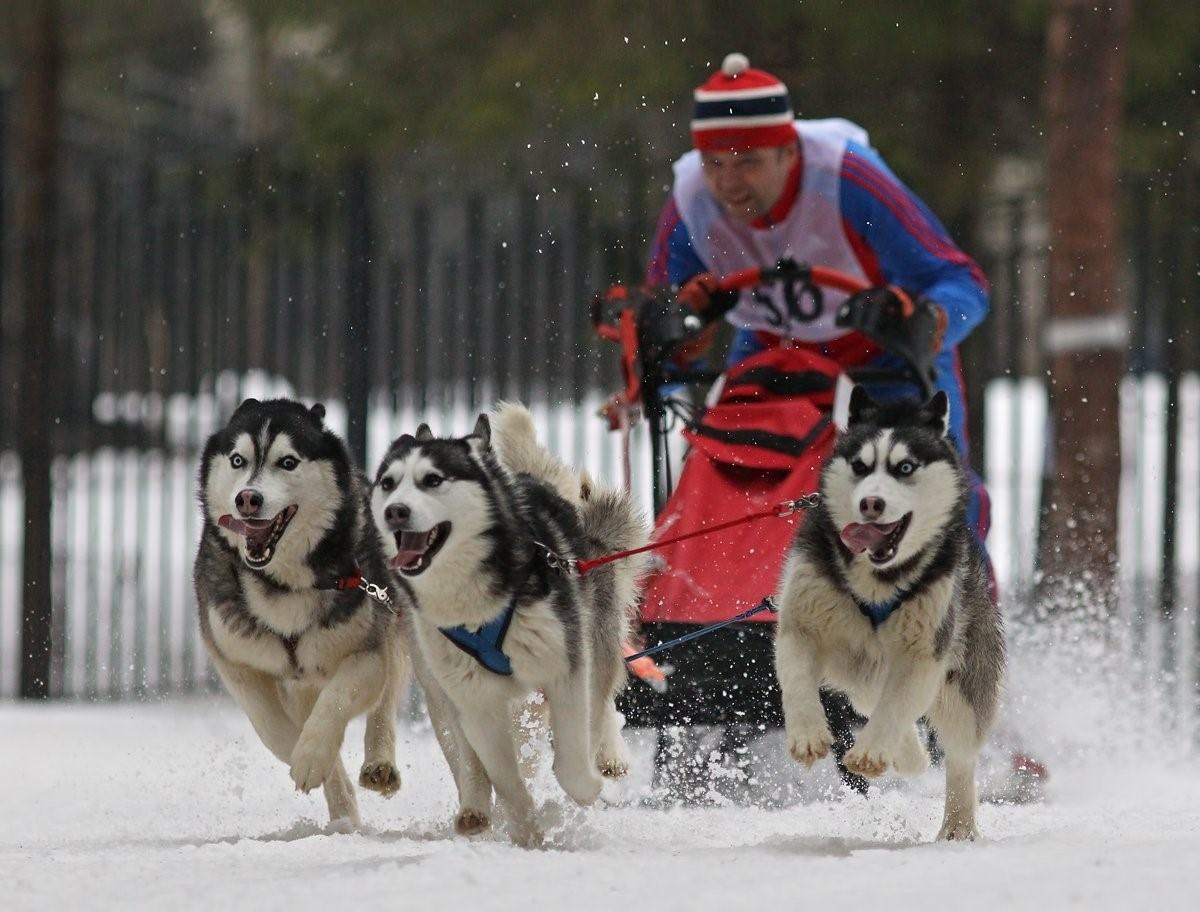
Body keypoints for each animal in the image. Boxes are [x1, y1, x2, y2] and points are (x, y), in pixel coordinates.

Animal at [193, 398, 408, 825]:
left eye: (288, 462)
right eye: (238, 460)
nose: (248, 498)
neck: (284, 585)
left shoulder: (367, 651)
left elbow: (339, 700)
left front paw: (310, 756)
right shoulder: (235, 661)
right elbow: (272, 727)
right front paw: (306, 756)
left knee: (383, 703)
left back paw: (378, 765)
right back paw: (343, 813)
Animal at [369, 405, 648, 849]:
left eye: (433, 480)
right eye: (388, 483)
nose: (395, 510)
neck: (478, 606)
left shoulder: (566, 671)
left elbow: (572, 758)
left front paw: (586, 788)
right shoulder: (470, 699)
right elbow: (497, 774)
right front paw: (522, 829)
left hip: (592, 641)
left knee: (602, 701)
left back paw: (609, 756)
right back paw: (476, 809)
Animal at [772, 388, 998, 835]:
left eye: (904, 467)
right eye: (860, 466)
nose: (870, 503)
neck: (877, 582)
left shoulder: (923, 652)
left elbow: (895, 706)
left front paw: (873, 751)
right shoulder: (802, 623)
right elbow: (798, 678)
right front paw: (807, 733)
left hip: (961, 683)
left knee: (959, 753)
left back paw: (958, 824)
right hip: (860, 666)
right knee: (872, 700)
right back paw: (910, 755)